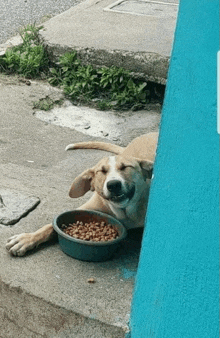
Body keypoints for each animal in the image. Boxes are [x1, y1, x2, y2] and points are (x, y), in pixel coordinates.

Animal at [5, 132, 158, 256]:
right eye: (102, 171)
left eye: (125, 167)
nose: (113, 185)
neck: (125, 212)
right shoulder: (89, 208)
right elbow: (49, 226)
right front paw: (27, 239)